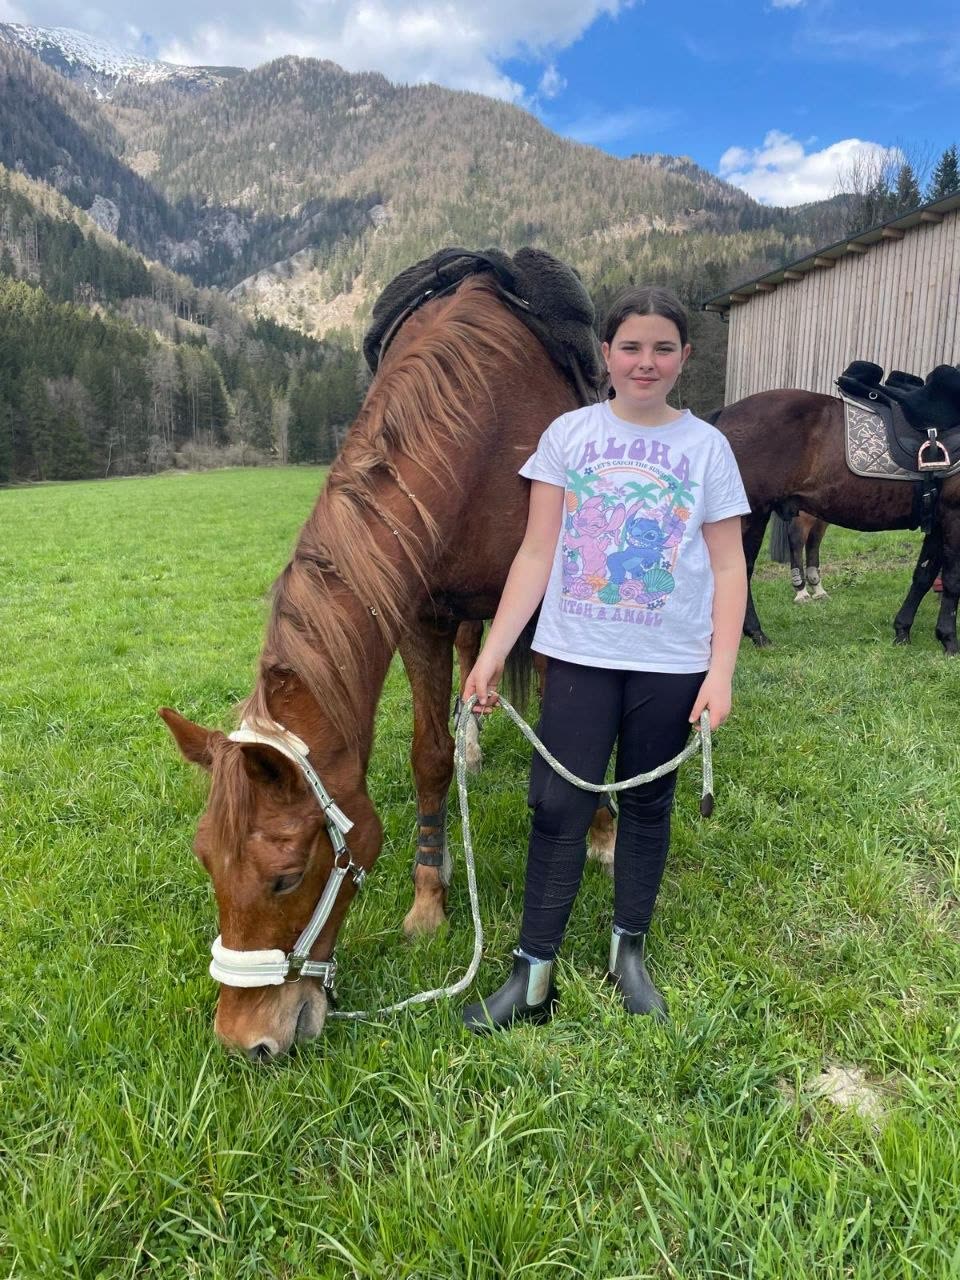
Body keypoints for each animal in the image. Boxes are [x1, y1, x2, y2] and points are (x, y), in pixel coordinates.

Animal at [160, 276, 592, 1058]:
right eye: (206, 862)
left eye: (286, 878)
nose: (244, 1040)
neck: (483, 429)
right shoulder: (422, 612)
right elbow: (430, 756)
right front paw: (429, 897)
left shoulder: (549, 598)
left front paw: (601, 833)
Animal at [712, 390, 960, 652]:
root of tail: (725, 414)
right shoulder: (954, 516)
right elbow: (953, 580)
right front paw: (949, 640)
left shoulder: (938, 522)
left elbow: (923, 576)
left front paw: (903, 631)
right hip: (752, 516)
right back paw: (756, 634)